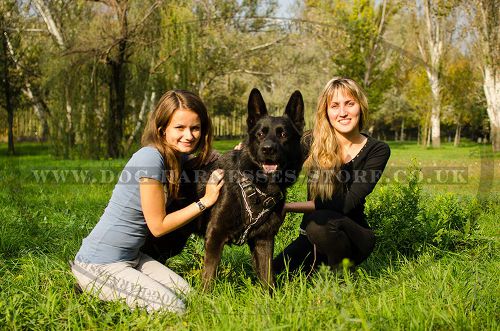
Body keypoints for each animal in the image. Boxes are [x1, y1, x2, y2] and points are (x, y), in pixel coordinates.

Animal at [141, 88, 304, 290]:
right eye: (260, 134)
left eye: (283, 135)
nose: (268, 149)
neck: (257, 187)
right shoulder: (215, 234)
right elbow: (209, 278)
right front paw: (204, 297)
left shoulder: (264, 239)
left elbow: (268, 279)